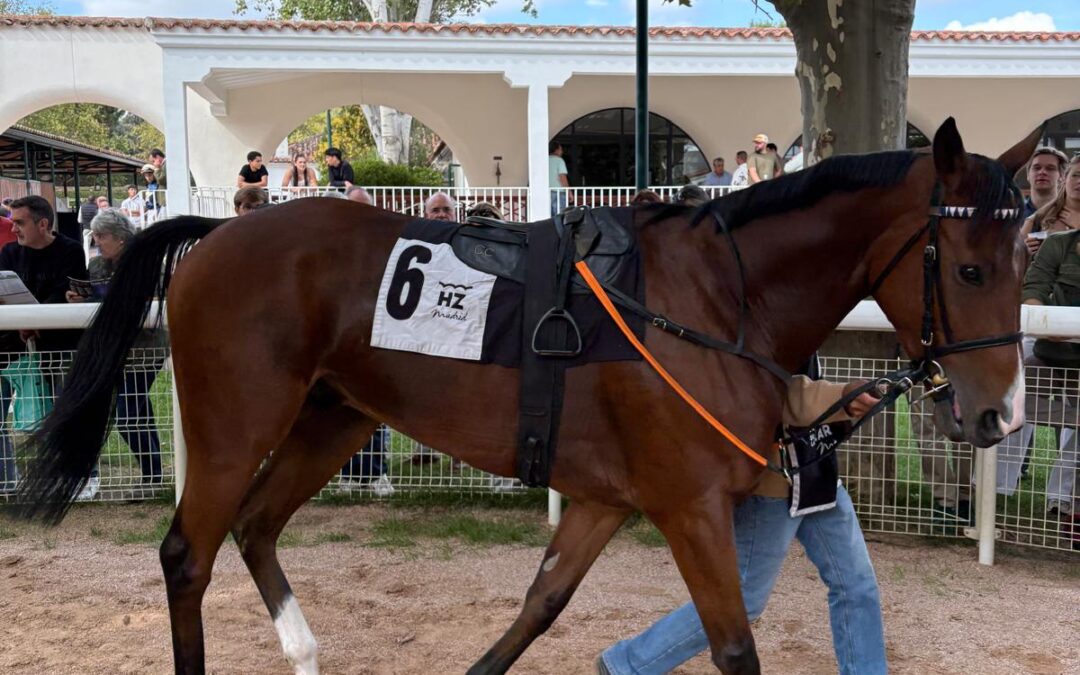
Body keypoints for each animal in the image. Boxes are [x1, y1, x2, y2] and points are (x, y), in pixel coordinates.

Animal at [14, 118, 1040, 675]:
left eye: (1028, 256)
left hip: (336, 414)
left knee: (257, 524)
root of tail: (215, 234)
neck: (713, 298)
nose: (1000, 413)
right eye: (969, 265)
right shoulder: (688, 504)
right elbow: (733, 644)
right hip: (237, 421)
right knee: (188, 552)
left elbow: (539, 606)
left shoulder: (602, 498)